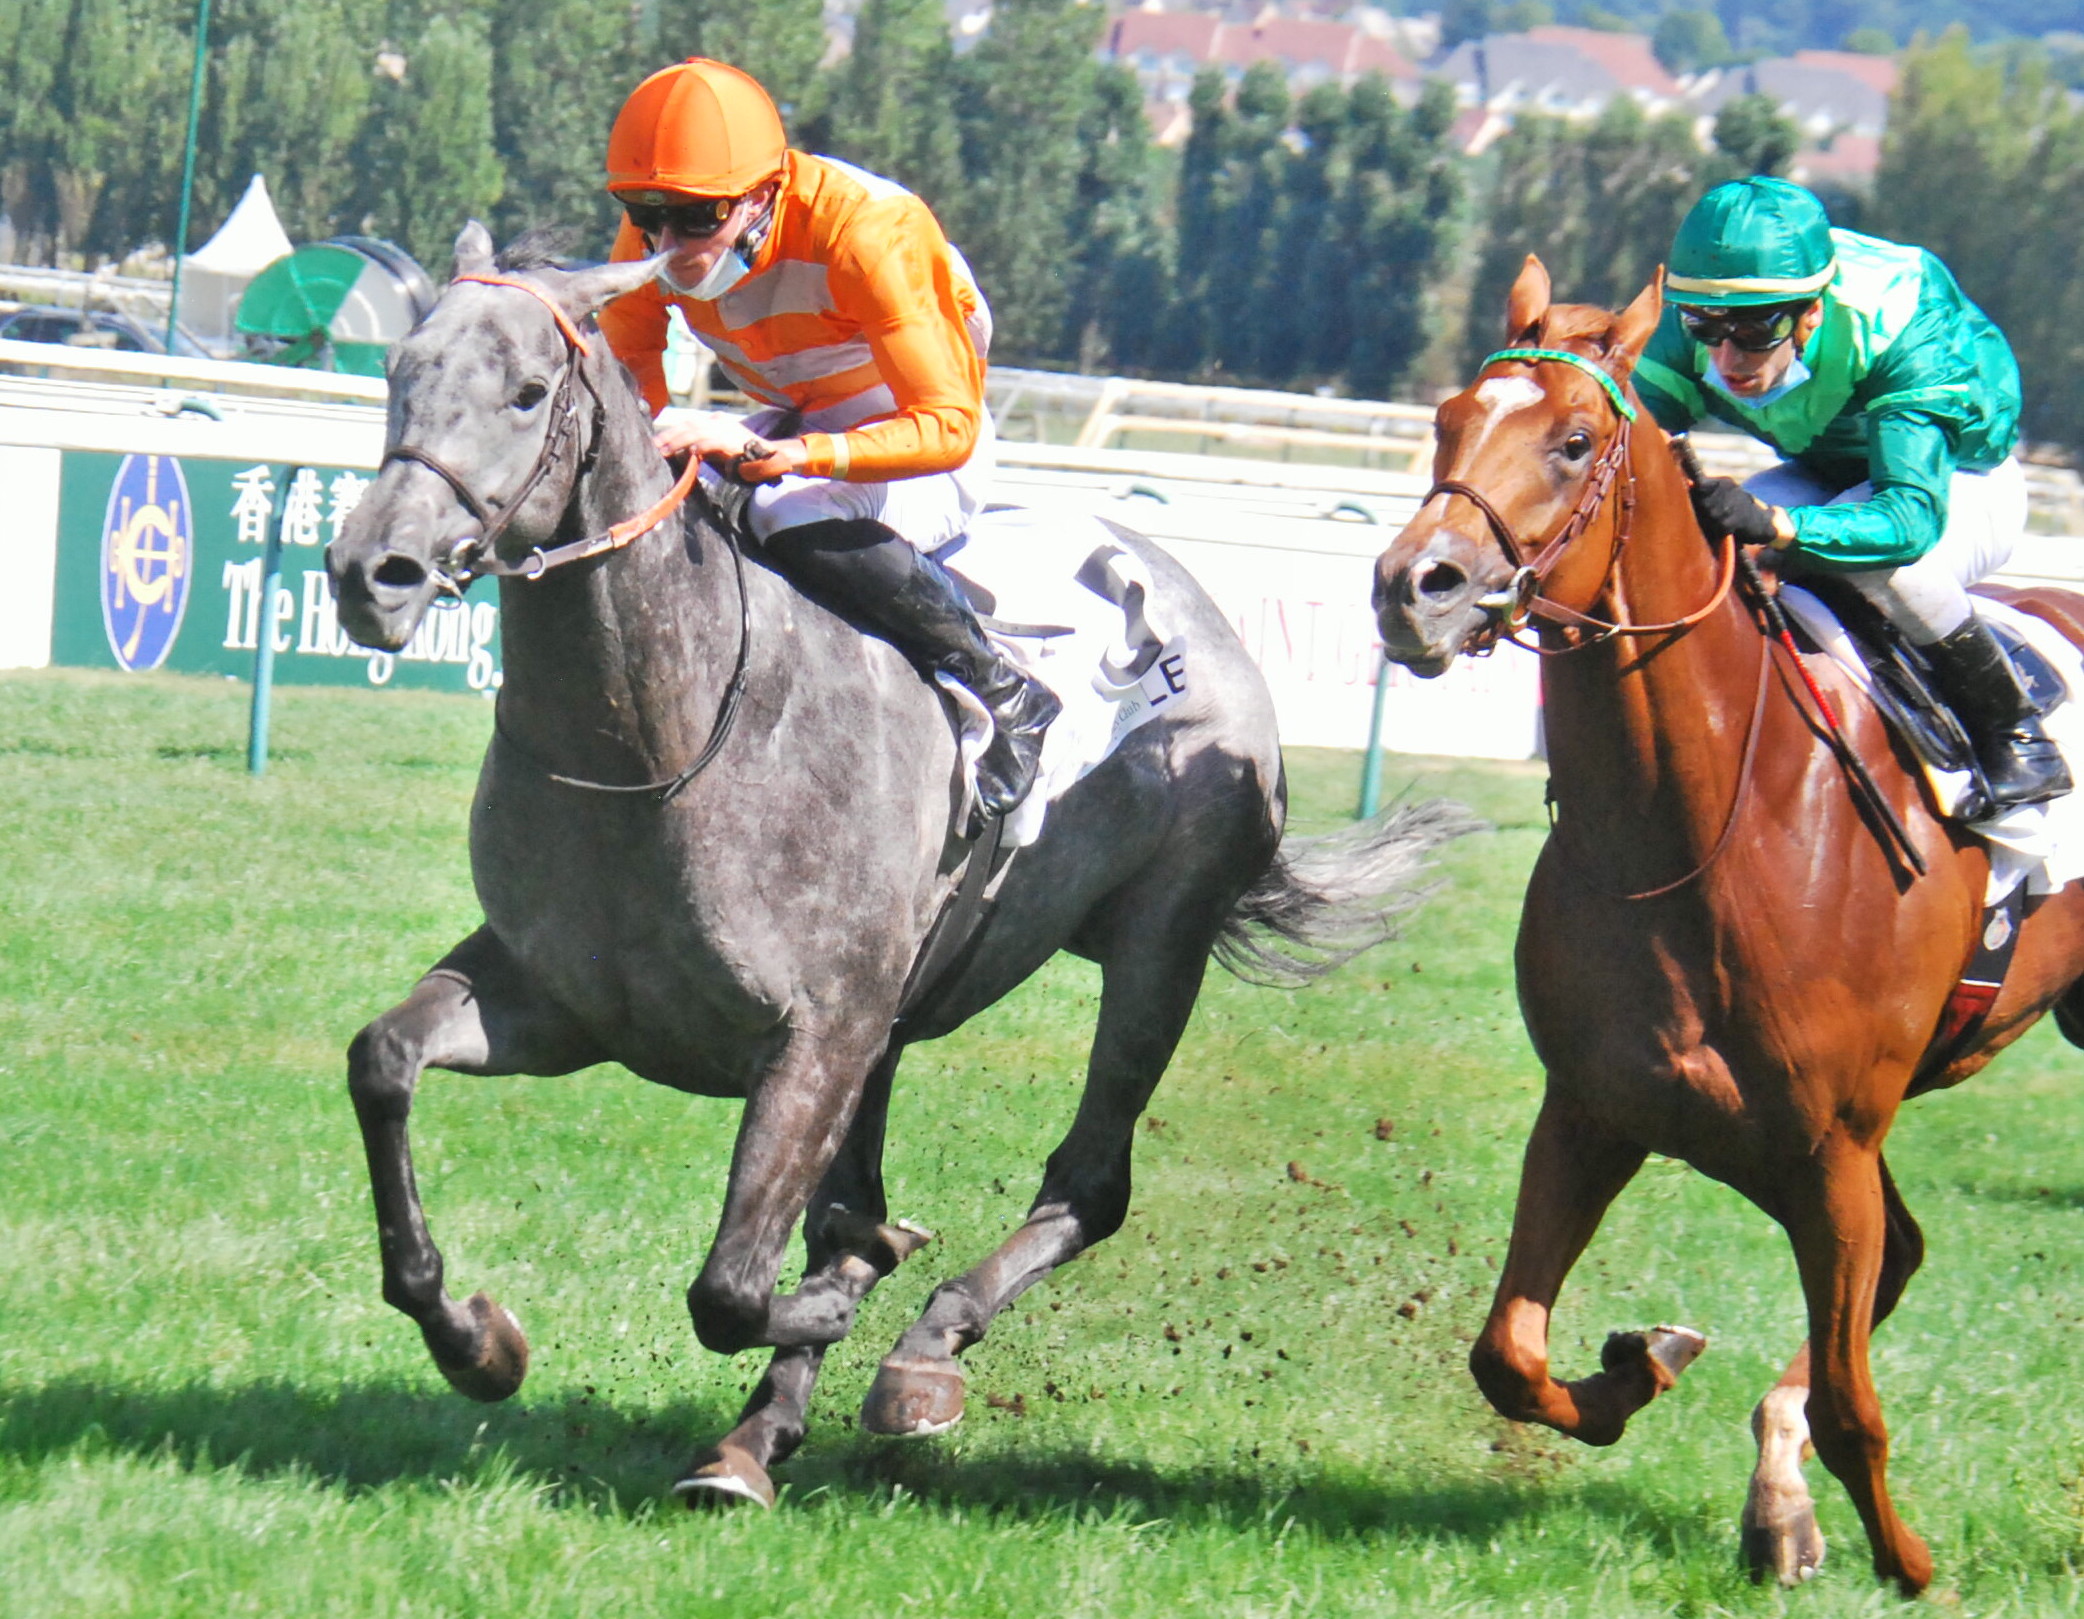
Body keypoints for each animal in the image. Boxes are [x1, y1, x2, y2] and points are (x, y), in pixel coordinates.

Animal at [325, 223, 1467, 1500]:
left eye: (527, 391)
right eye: (398, 371)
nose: (374, 569)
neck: (659, 741)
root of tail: (1181, 590)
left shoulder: (813, 1034)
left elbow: (734, 1284)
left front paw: (840, 1293)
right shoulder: (560, 998)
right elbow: (383, 1062)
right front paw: (473, 1337)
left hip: (1155, 939)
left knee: (1087, 1180)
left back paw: (922, 1349)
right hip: (894, 1016)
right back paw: (752, 1437)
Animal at [1367, 252, 2084, 1591]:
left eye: (1573, 441)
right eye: (1444, 419)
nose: (1410, 589)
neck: (1699, 829)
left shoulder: (1830, 1147)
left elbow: (1856, 1402)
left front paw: (1909, 1561)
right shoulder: (1597, 1104)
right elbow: (1508, 1351)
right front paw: (1639, 1364)